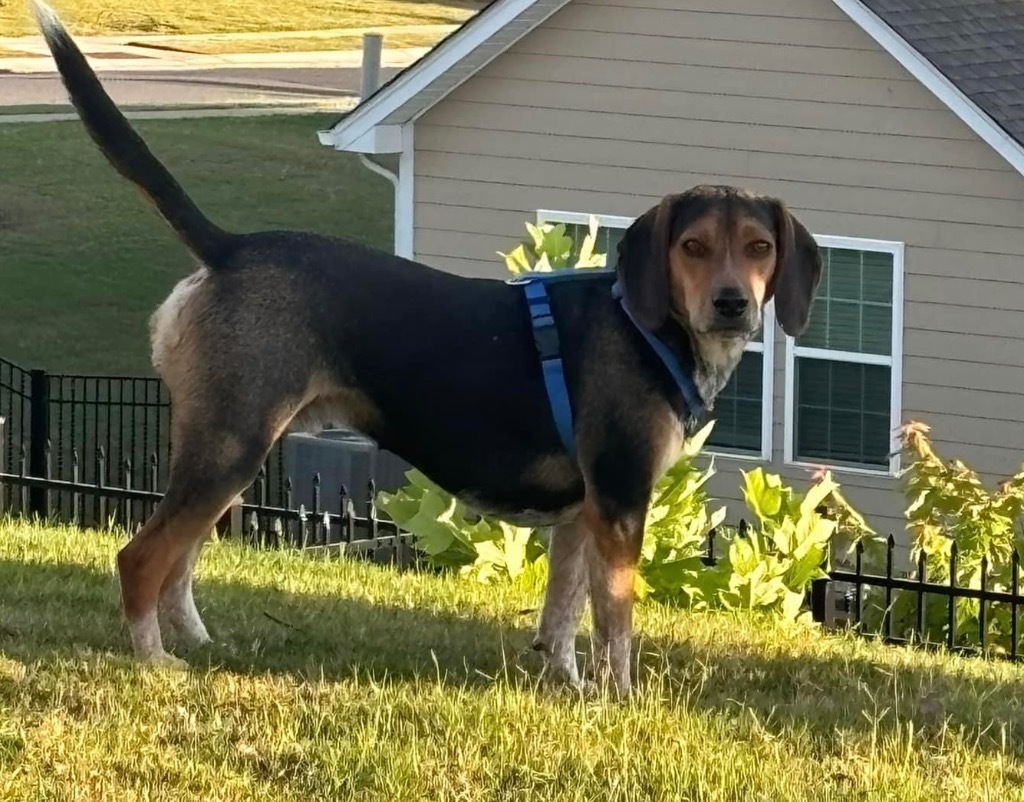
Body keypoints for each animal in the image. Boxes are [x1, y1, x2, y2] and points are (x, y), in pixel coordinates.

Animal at [32, 1, 823, 696]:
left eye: (759, 246)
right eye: (692, 247)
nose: (732, 303)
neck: (646, 325)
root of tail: (229, 248)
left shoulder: (581, 515)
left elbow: (562, 617)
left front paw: (567, 687)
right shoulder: (621, 504)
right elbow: (616, 626)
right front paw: (622, 700)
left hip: (230, 452)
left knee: (180, 560)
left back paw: (195, 642)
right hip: (230, 445)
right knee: (141, 559)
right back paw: (155, 663)